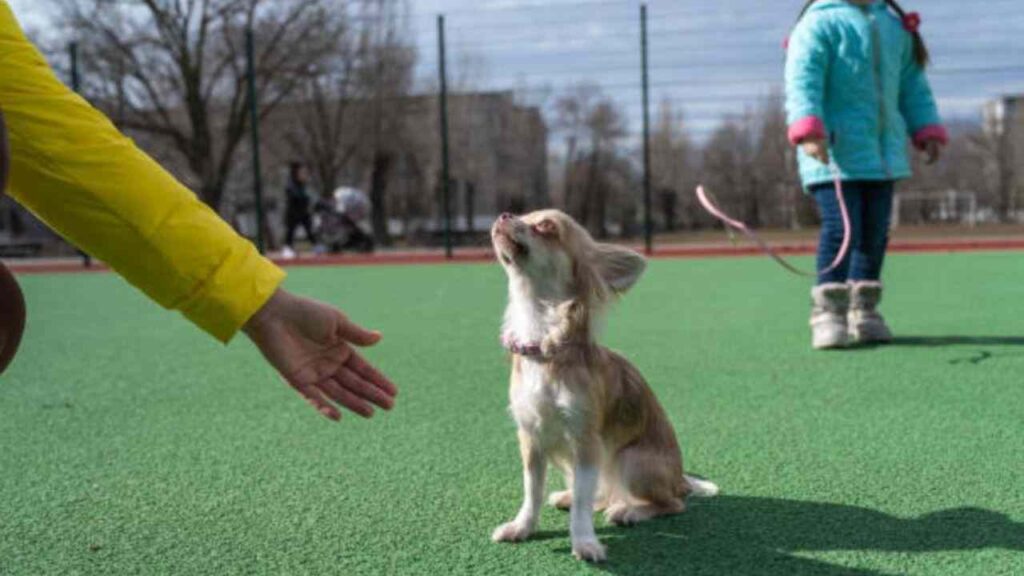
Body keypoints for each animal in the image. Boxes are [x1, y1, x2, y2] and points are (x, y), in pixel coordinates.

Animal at [489, 208, 720, 557]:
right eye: (523, 215)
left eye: (545, 226)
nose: (504, 214)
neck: (544, 346)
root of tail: (679, 478)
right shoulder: (531, 438)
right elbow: (533, 491)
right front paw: (522, 527)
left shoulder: (586, 443)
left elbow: (583, 504)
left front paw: (584, 541)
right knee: (600, 493)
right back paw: (570, 496)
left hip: (631, 461)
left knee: (671, 504)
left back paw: (630, 510)